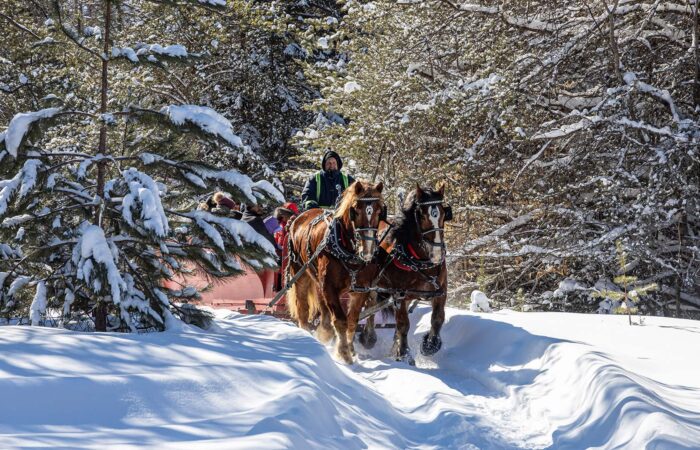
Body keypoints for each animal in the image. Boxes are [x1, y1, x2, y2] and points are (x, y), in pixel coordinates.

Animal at [286, 180, 385, 364]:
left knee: (323, 308)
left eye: (379, 210)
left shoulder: (360, 290)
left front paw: (349, 348)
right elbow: (340, 320)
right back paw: (306, 334)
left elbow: (352, 321)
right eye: (355, 210)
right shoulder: (330, 287)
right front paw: (343, 353)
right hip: (300, 274)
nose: (367, 250)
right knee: (302, 307)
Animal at [352, 183, 451, 363]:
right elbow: (404, 324)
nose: (437, 253)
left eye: (443, 213)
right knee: (370, 307)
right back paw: (369, 338)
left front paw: (429, 345)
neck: (419, 260)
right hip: (372, 287)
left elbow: (438, 318)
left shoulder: (441, 291)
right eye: (422, 216)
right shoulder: (399, 295)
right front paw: (404, 353)